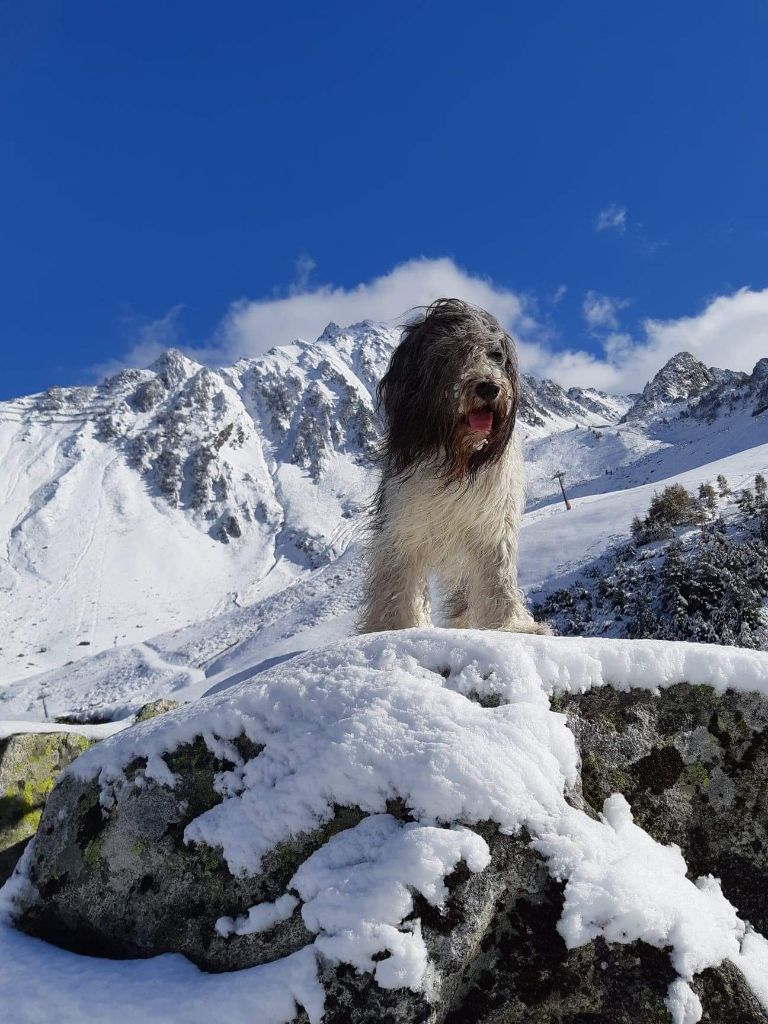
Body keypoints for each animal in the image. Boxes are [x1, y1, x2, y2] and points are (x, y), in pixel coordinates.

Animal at [360, 294, 548, 630]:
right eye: (451, 353)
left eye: (495, 354)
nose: (489, 387)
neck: (457, 456)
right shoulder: (402, 522)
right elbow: (396, 578)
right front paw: (392, 627)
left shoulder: (492, 522)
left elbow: (498, 573)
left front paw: (514, 625)